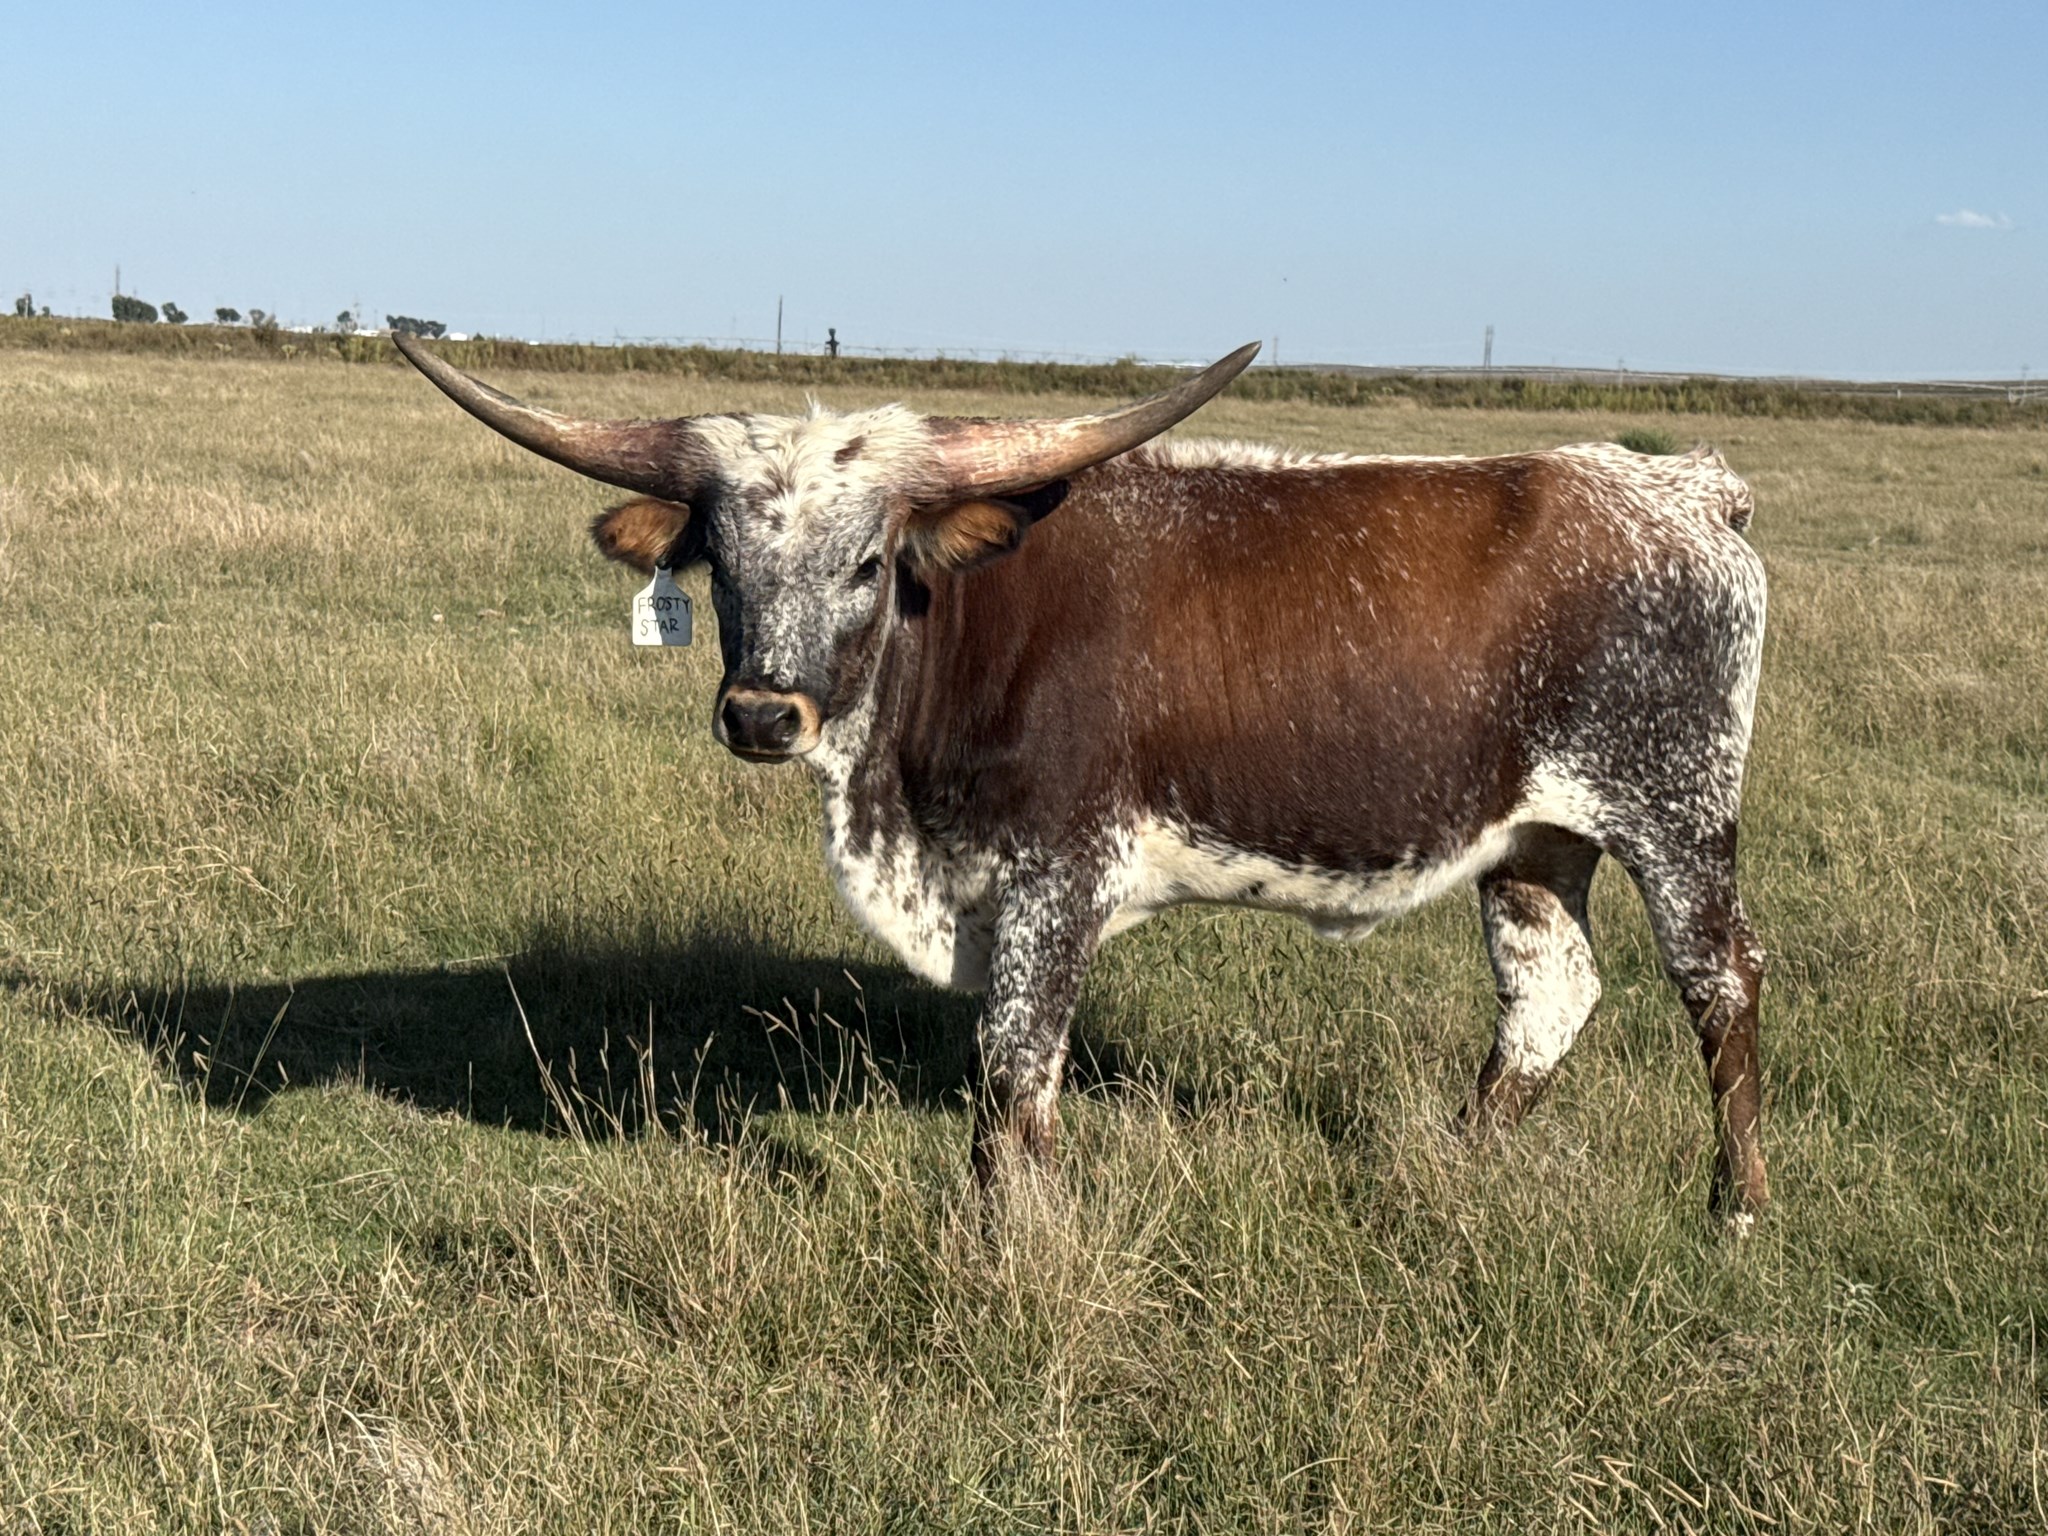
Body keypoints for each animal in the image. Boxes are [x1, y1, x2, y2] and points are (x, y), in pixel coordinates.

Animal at [394, 334, 1770, 1223]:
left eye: (865, 562)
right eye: (719, 563)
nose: (761, 714)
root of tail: (1682, 483)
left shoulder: (1057, 876)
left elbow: (1013, 1072)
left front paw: (1014, 1242)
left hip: (1674, 811)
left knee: (1720, 985)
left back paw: (1733, 1206)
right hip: (1535, 837)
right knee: (1549, 991)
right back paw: (1455, 1168)